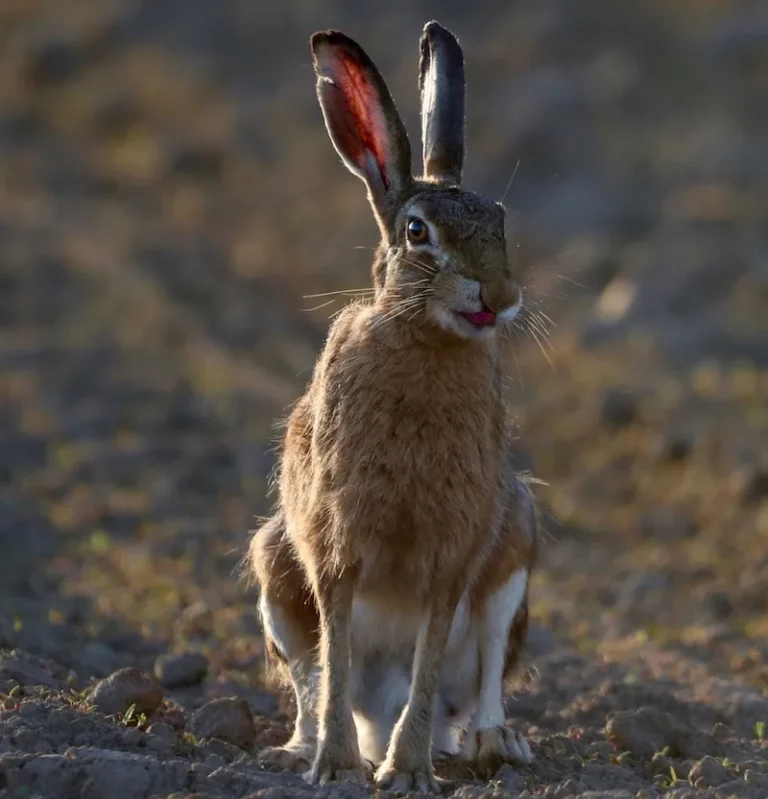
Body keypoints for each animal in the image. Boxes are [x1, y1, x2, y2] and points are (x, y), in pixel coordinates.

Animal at [247, 20, 539, 794]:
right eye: (417, 232)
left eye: (500, 221)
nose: (500, 296)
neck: (421, 337)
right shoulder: (332, 542)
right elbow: (336, 652)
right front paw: (336, 765)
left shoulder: (457, 550)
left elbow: (430, 659)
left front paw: (405, 773)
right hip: (273, 565)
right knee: (313, 676)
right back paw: (302, 749)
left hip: (516, 547)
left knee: (479, 678)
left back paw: (495, 745)